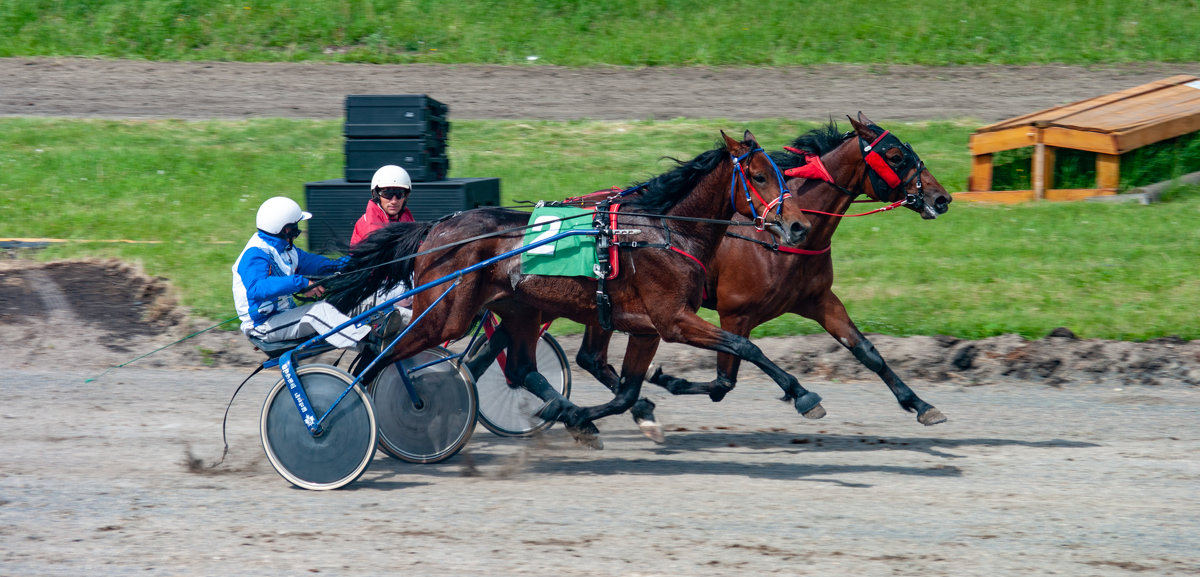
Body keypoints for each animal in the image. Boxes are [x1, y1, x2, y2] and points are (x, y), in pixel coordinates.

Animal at [324, 130, 820, 446]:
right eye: (759, 176)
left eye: (782, 174)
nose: (798, 226)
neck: (663, 230)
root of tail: (436, 229)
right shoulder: (673, 320)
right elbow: (745, 345)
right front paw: (804, 395)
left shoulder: (645, 327)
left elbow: (627, 392)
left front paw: (582, 415)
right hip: (446, 314)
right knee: (379, 357)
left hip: (518, 310)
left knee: (518, 367)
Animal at [576, 112, 950, 439]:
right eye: (896, 156)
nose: (941, 198)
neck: (777, 240)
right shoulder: (734, 313)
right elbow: (726, 378)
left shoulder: (819, 300)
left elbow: (867, 351)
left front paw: (921, 405)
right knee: (593, 360)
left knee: (590, 359)